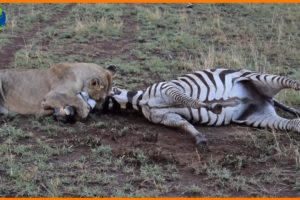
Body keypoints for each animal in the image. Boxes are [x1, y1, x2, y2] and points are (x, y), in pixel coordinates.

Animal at [102, 68, 300, 148]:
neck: (143, 101)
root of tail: (266, 99)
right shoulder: (167, 117)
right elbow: (185, 124)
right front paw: (199, 138)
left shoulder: (170, 88)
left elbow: (189, 100)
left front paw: (215, 105)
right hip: (259, 117)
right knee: (293, 124)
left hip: (258, 78)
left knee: (290, 82)